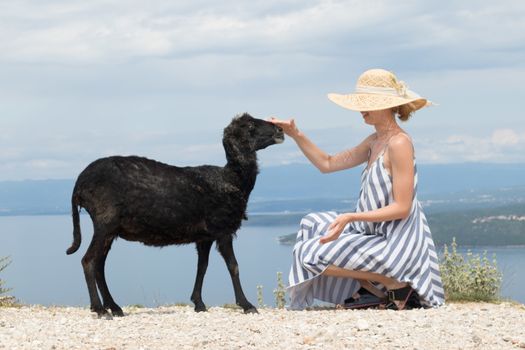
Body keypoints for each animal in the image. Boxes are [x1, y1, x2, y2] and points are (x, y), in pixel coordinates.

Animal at [68, 113, 286, 316]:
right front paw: (247, 305)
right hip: (105, 221)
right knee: (88, 261)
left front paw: (199, 303)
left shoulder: (205, 237)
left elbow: (202, 267)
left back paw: (114, 307)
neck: (233, 179)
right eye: (250, 126)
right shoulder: (223, 229)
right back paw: (100, 309)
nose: (280, 131)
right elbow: (234, 266)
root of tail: (79, 184)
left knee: (99, 265)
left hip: (110, 229)